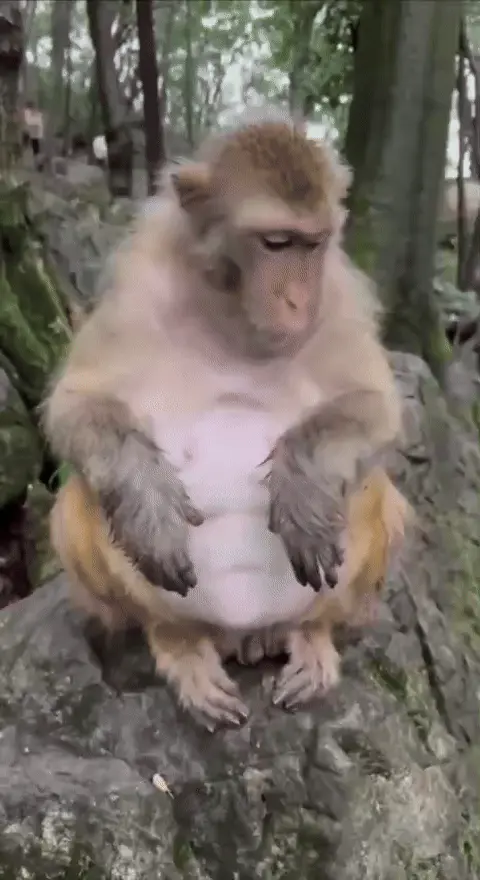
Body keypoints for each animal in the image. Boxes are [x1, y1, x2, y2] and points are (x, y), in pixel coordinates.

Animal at [43, 110, 409, 728]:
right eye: (276, 243)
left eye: (314, 244)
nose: (298, 302)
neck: (231, 312)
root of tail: (245, 635)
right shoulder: (137, 287)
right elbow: (75, 405)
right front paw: (148, 504)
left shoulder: (338, 293)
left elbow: (377, 404)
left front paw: (303, 483)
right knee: (79, 502)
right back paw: (179, 645)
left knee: (371, 485)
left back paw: (313, 635)